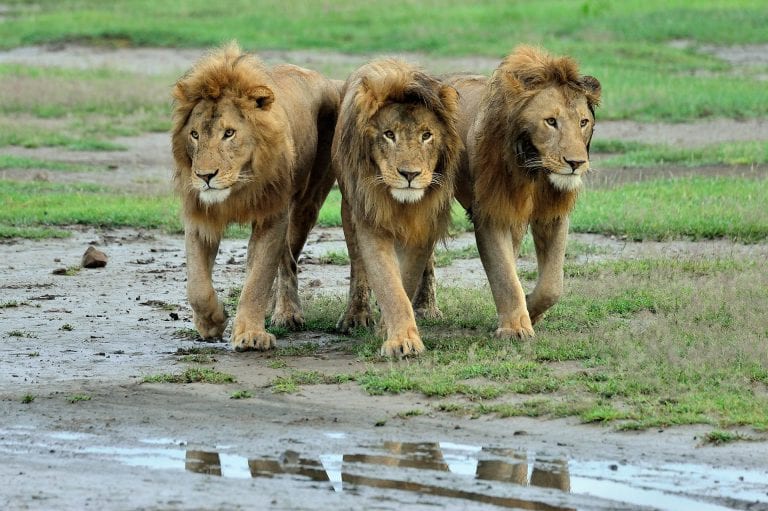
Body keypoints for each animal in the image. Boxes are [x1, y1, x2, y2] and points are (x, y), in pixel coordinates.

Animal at [174, 43, 342, 352]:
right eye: (194, 134)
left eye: (229, 133)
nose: (205, 176)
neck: (239, 184)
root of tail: (322, 78)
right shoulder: (200, 215)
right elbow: (197, 285)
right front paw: (212, 321)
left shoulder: (272, 215)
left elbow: (258, 279)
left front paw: (250, 334)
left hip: (307, 205)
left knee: (288, 261)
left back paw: (287, 313)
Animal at [332, 59, 462, 356]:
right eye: (389, 134)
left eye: (427, 135)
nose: (410, 174)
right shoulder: (370, 221)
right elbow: (388, 283)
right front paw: (401, 339)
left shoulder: (425, 222)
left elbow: (408, 278)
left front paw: (389, 330)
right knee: (358, 264)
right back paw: (355, 316)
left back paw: (427, 307)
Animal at [420, 45, 600, 340]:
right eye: (551, 121)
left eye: (583, 122)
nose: (576, 163)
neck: (535, 170)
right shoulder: (491, 214)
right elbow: (504, 274)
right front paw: (514, 327)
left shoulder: (552, 215)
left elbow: (552, 284)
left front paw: (531, 310)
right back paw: (425, 309)